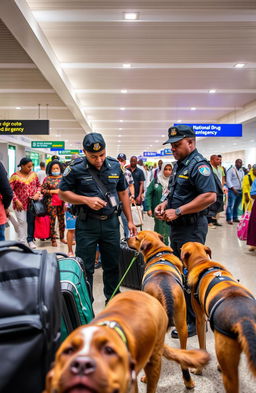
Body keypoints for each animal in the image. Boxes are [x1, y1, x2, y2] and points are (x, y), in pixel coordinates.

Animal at [128, 231, 200, 388]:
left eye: (136, 237)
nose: (125, 239)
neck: (159, 252)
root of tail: (165, 291)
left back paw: (146, 378)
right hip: (182, 325)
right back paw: (188, 381)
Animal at [180, 240, 256, 392]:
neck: (202, 261)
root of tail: (244, 318)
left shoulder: (200, 320)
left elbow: (202, 345)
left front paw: (198, 370)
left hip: (230, 373)